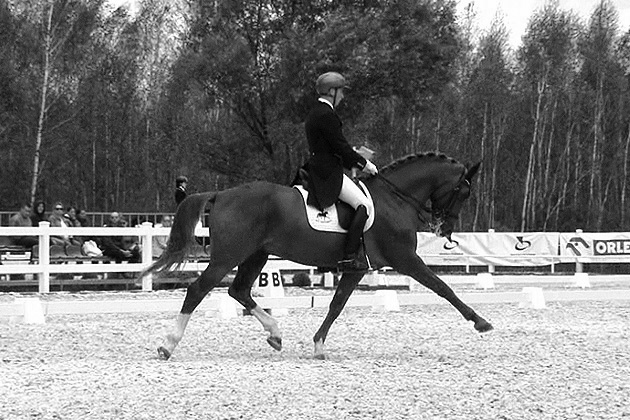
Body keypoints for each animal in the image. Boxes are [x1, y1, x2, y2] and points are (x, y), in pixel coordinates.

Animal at [141, 152, 493, 360]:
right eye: (464, 191)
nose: (445, 230)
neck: (395, 200)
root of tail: (221, 194)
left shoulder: (356, 269)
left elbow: (337, 304)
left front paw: (318, 344)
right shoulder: (405, 259)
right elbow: (443, 288)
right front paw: (481, 322)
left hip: (256, 255)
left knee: (239, 290)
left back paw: (275, 334)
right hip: (228, 257)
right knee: (198, 290)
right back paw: (167, 345)